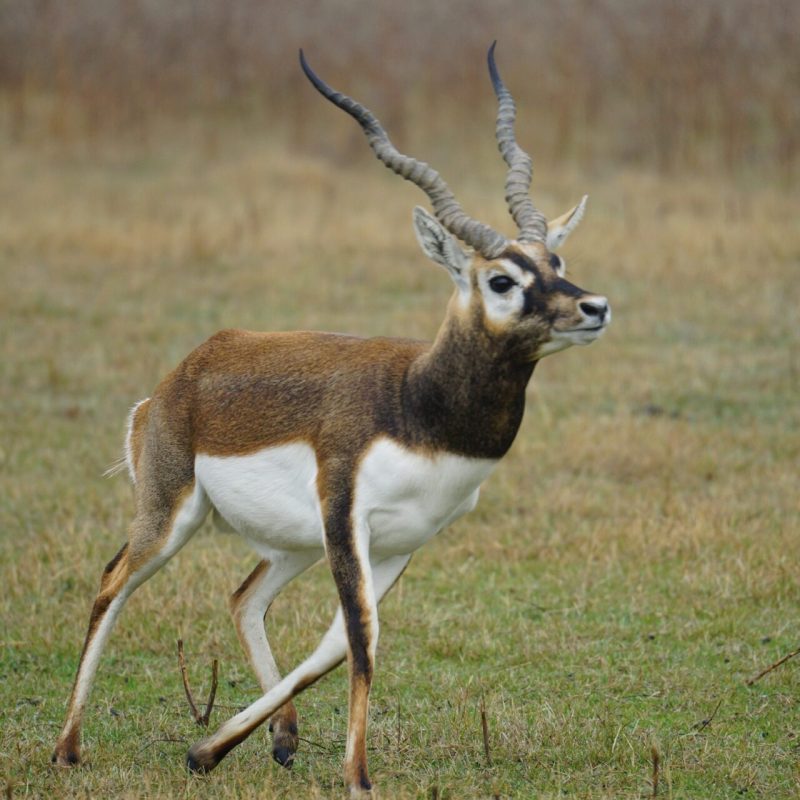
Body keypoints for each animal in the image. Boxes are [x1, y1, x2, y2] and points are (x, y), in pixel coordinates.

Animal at [52, 44, 610, 796]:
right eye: (501, 280)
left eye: (557, 260)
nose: (594, 307)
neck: (417, 404)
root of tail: (183, 373)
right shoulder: (347, 516)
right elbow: (363, 640)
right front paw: (360, 780)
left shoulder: (403, 541)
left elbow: (335, 646)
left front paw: (206, 752)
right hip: (172, 513)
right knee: (112, 584)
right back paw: (67, 749)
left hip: (292, 541)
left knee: (243, 598)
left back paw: (268, 742)